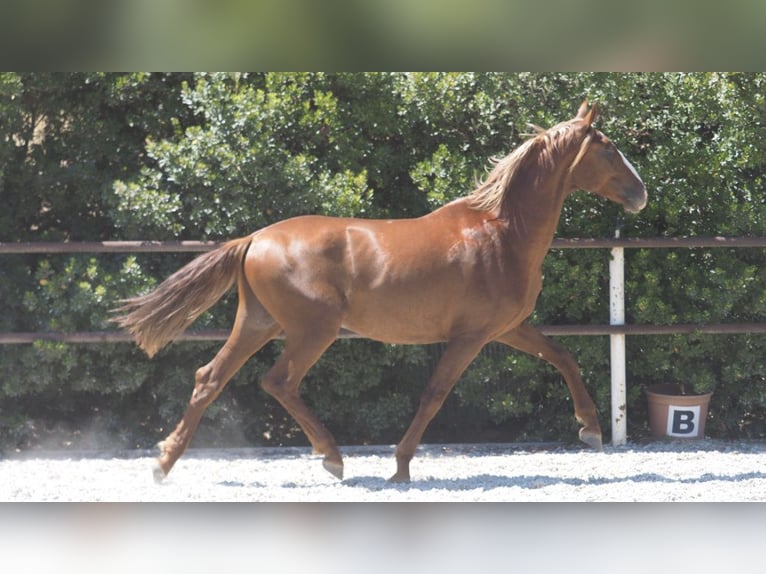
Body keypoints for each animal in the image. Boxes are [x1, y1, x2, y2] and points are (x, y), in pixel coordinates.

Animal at [114, 101, 648, 484]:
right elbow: (434, 394)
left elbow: (563, 357)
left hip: (258, 322)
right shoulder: (471, 337)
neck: (500, 231)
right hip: (312, 330)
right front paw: (401, 466)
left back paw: (163, 464)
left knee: (209, 378)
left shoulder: (508, 328)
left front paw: (590, 429)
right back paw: (332, 458)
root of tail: (255, 239)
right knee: (279, 382)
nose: (641, 193)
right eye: (607, 147)